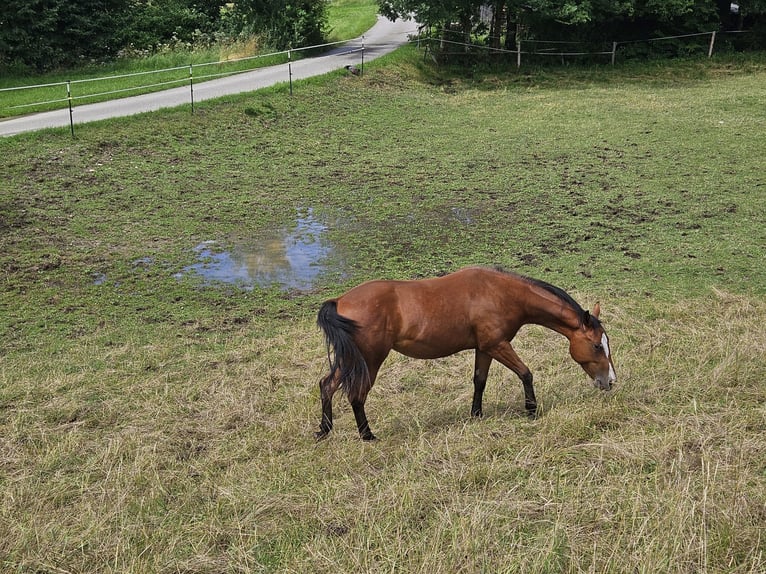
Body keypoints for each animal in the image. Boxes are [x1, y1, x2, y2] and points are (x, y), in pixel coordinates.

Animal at [315, 266, 616, 441]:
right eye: (597, 345)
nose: (610, 381)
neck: (501, 292)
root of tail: (340, 301)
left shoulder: (484, 348)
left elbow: (479, 381)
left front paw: (476, 414)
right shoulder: (498, 345)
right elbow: (526, 373)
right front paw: (531, 410)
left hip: (350, 360)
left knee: (327, 385)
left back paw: (325, 430)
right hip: (369, 360)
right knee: (357, 395)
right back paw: (367, 435)